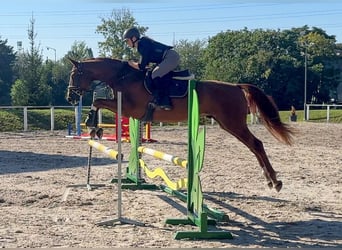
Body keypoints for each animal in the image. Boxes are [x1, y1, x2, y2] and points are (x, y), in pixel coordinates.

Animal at [67, 57, 294, 192]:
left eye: (74, 74)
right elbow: (99, 102)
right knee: (254, 146)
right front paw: (94, 128)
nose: (70, 97)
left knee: (256, 144)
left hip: (233, 123)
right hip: (227, 124)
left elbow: (98, 101)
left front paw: (91, 123)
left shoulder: (131, 109)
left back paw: (275, 181)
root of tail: (237, 87)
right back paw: (270, 180)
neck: (123, 76)